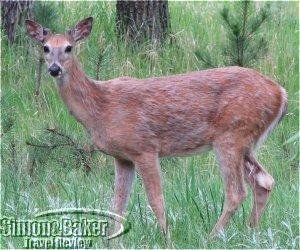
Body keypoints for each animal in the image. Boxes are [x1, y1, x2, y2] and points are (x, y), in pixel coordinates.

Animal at [26, 17, 288, 236]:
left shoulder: (144, 147)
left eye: (69, 47)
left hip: (231, 135)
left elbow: (156, 200)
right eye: (45, 47)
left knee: (237, 192)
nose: (54, 69)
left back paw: (211, 237)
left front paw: (166, 238)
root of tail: (281, 93)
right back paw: (251, 232)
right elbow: (117, 203)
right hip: (244, 141)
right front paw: (111, 240)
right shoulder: (122, 157)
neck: (100, 108)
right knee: (264, 181)